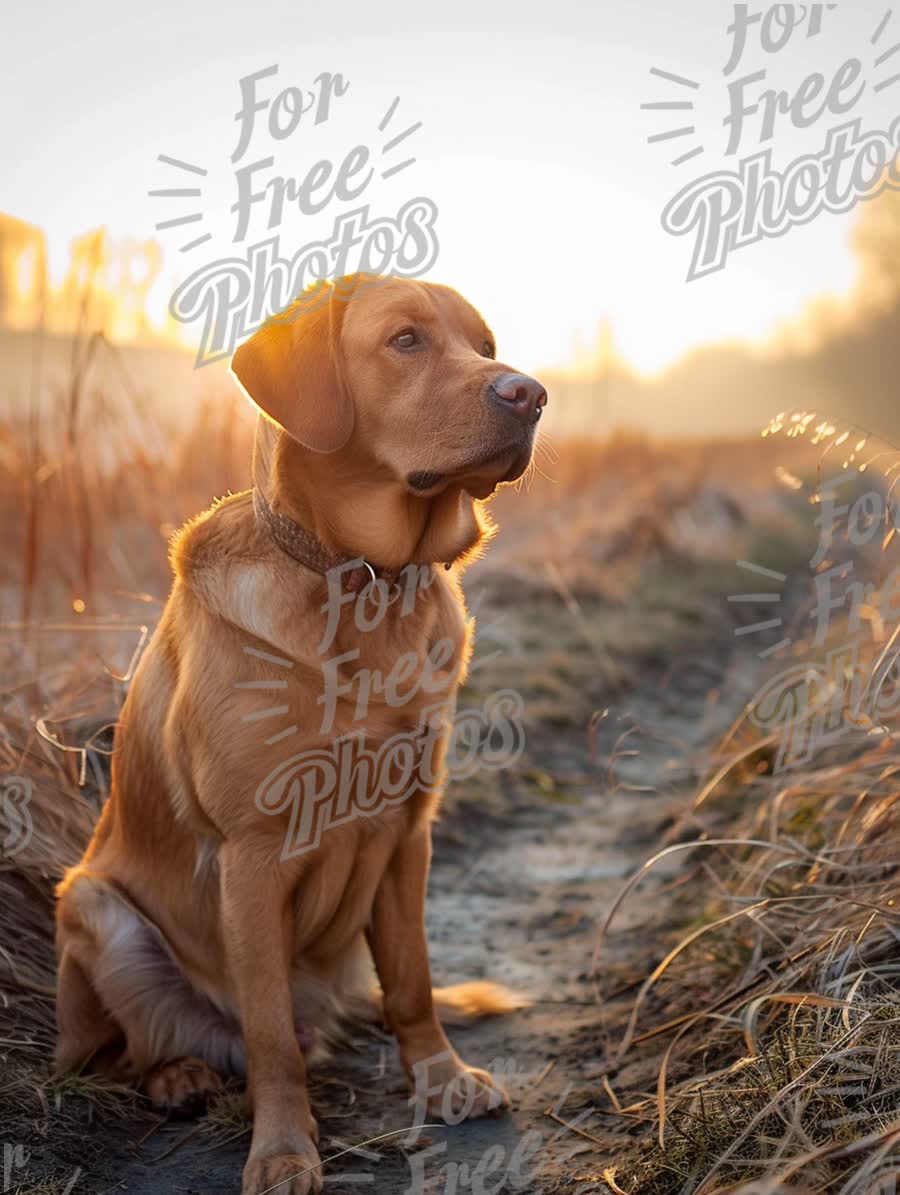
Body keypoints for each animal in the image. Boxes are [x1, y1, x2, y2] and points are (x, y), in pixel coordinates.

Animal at [57, 273, 547, 1195]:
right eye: (404, 340)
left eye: (487, 345)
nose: (531, 394)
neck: (367, 587)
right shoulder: (251, 856)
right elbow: (270, 1037)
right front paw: (284, 1148)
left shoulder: (409, 832)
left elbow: (414, 982)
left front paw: (440, 1077)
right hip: (94, 906)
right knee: (125, 1051)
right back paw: (178, 1074)